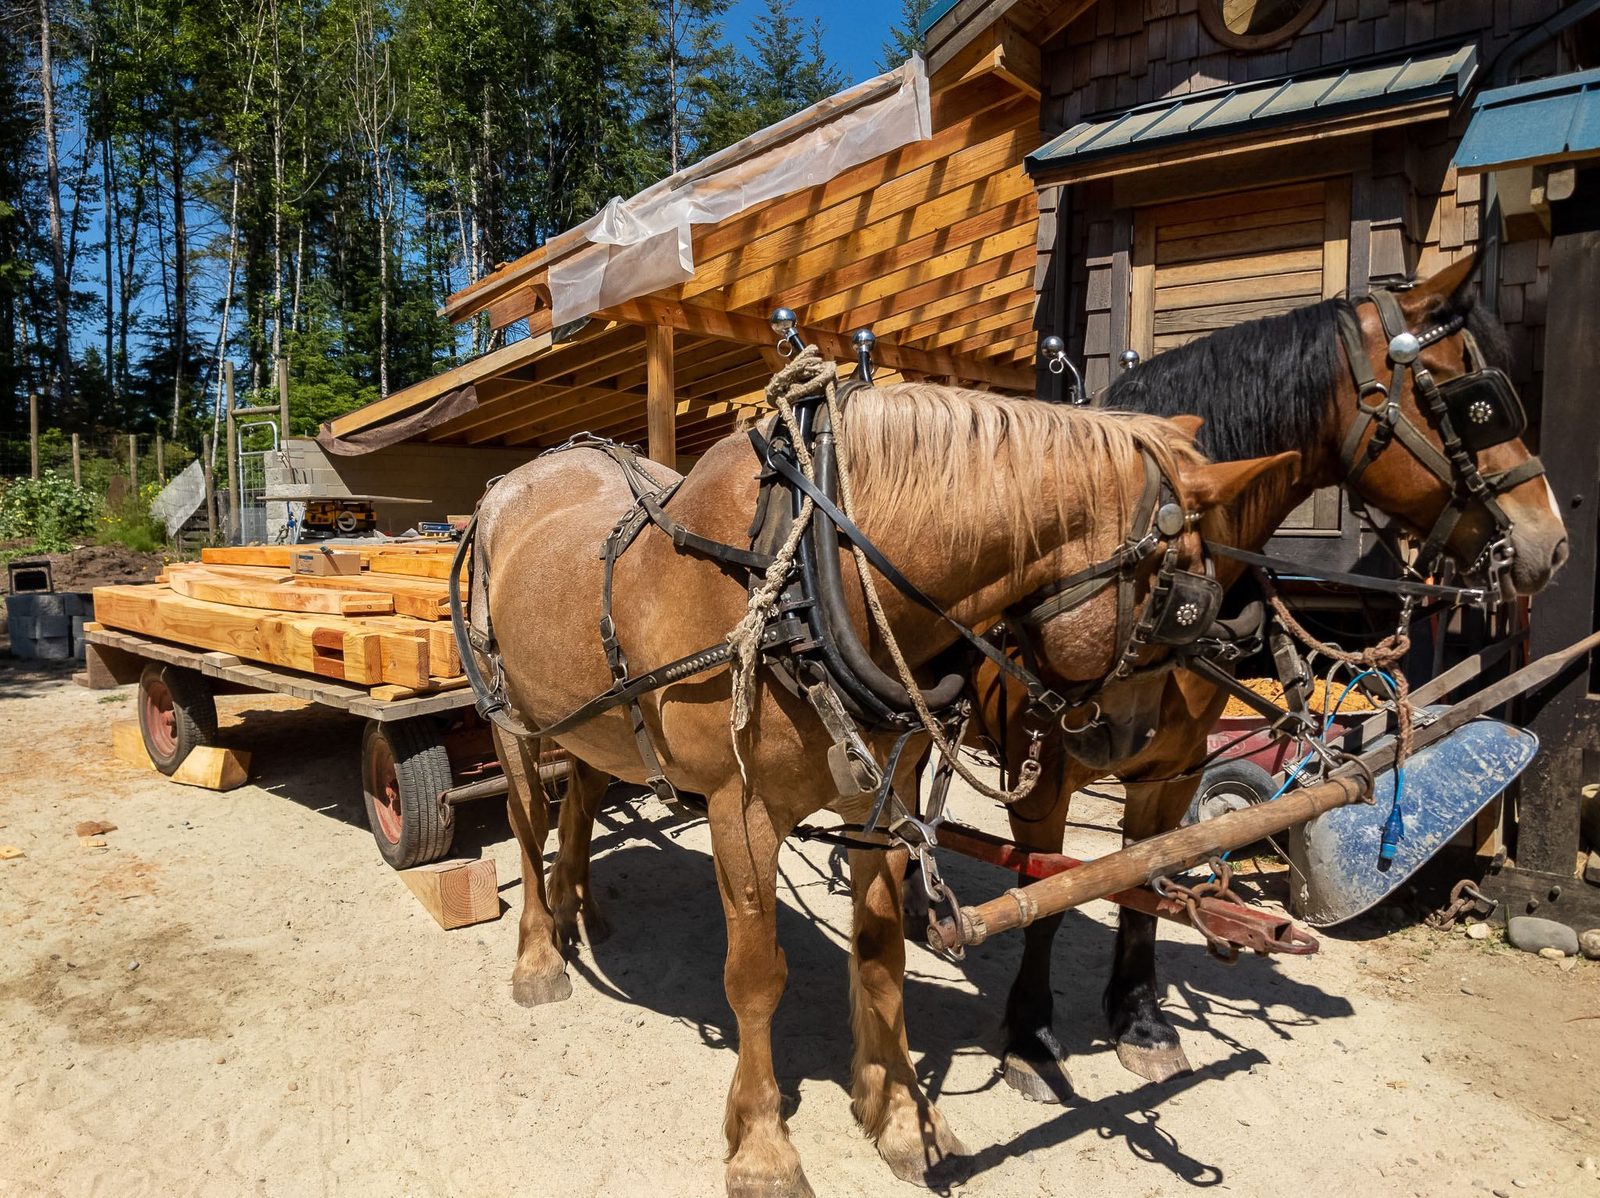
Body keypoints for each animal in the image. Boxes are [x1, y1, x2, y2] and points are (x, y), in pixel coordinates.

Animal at [471, 378, 1300, 1197]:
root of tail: (526, 474)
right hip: (512, 720)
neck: (804, 575)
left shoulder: (881, 805)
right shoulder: (740, 811)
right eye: (1180, 607)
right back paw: (540, 953)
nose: (1136, 742)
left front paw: (902, 1118)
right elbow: (756, 977)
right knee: (528, 822)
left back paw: (580, 907)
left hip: (591, 719)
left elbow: (882, 961)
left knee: (580, 799)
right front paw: (763, 1148)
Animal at [985, 254, 1568, 1103]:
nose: (1551, 543)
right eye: (1477, 401)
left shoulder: (1174, 769)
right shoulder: (1042, 772)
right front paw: (1030, 1036)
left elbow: (1142, 887)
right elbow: (1044, 895)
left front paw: (1142, 1023)